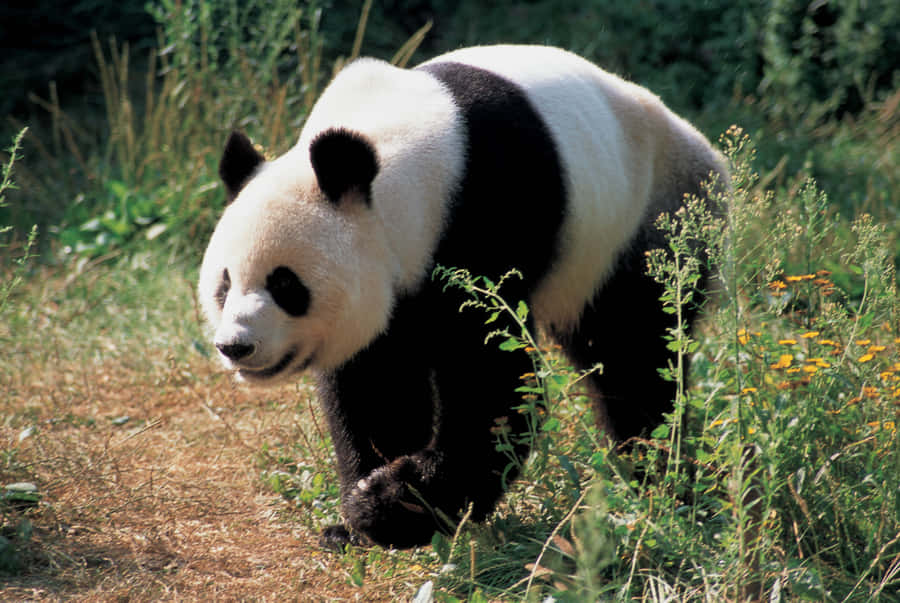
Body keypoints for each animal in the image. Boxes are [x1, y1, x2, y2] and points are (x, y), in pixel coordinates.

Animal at [198, 44, 727, 550]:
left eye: (285, 284)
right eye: (224, 284)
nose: (236, 346)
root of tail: (711, 156)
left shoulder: (489, 211)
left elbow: (494, 381)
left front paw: (394, 503)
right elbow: (374, 382)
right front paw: (357, 518)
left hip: (639, 227)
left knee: (634, 356)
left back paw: (659, 482)